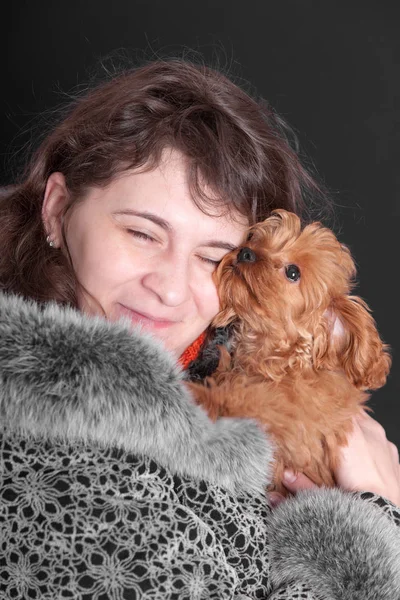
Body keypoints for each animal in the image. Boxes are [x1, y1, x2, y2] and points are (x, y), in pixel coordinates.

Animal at [189, 209, 392, 494]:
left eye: (293, 273)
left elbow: (240, 402)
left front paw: (199, 394)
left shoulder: (287, 422)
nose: (245, 252)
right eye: (256, 239)